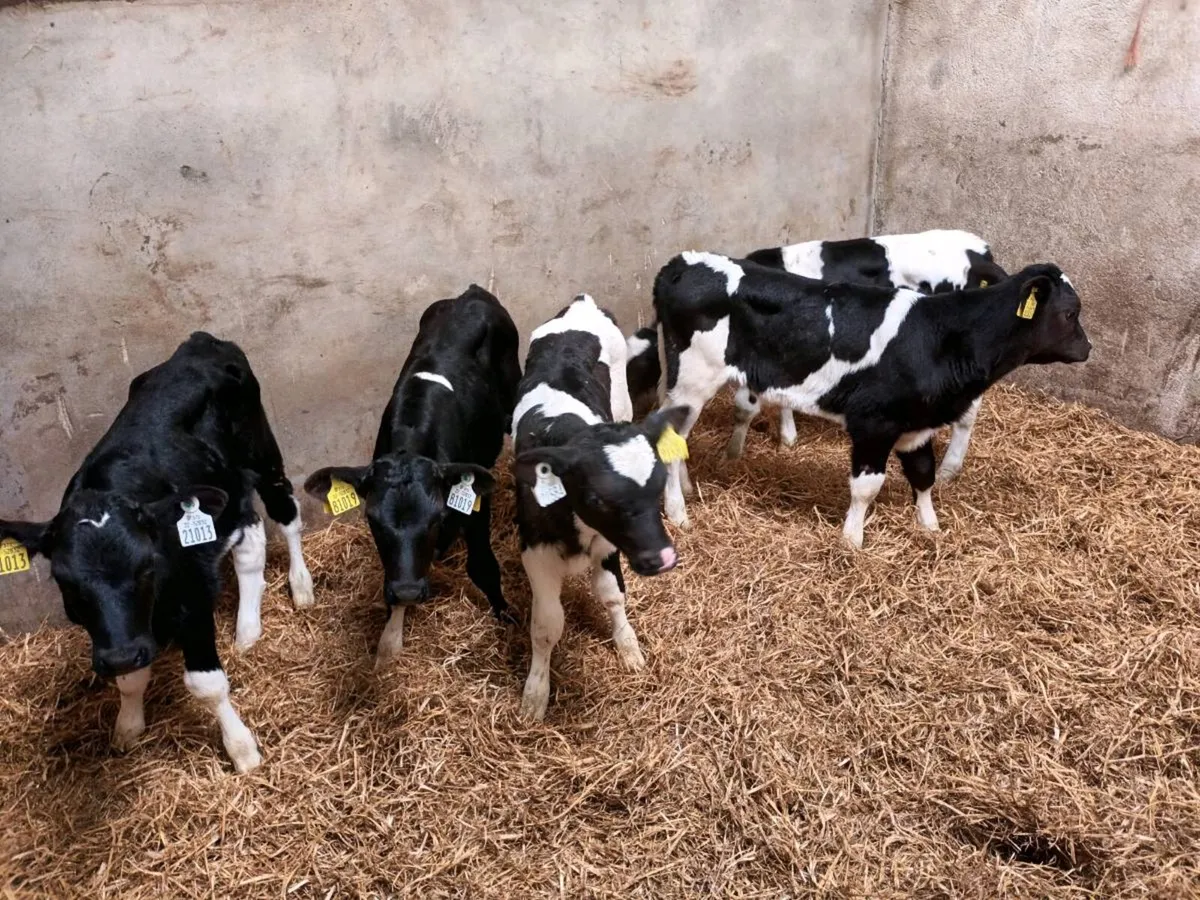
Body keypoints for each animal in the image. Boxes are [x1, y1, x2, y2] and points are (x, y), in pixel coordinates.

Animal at [0, 332, 315, 773]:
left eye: (147, 566)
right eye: (64, 580)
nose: (121, 656)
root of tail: (201, 341)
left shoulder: (192, 596)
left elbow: (206, 683)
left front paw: (242, 749)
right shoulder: (118, 634)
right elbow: (130, 679)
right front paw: (129, 724)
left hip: (262, 452)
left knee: (285, 512)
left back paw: (301, 586)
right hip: (228, 487)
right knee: (250, 538)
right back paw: (247, 631)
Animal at [303, 285, 522, 667]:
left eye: (437, 517)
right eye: (372, 521)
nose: (407, 591)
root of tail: (472, 292)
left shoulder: (475, 501)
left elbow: (483, 566)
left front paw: (507, 618)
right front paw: (390, 640)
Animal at [511, 294, 688, 720]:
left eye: (657, 487)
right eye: (596, 499)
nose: (662, 558)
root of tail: (581, 303)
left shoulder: (608, 546)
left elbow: (612, 594)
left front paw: (629, 648)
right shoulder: (535, 553)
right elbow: (546, 625)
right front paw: (535, 694)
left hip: (622, 400)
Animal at [626, 230, 1008, 481]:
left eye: (634, 371)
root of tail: (980, 252)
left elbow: (751, 404)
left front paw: (752, 447)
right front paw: (778, 439)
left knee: (968, 413)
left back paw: (949, 469)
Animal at [652, 252, 1090, 547]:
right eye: (1071, 313)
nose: (1088, 348)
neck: (943, 335)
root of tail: (681, 262)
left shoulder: (917, 424)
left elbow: (924, 475)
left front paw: (930, 526)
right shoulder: (874, 422)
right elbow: (866, 486)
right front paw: (852, 540)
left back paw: (687, 490)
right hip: (694, 380)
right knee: (671, 443)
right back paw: (678, 512)